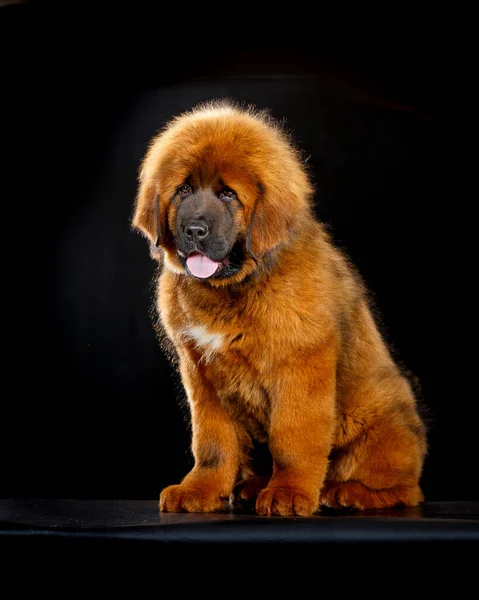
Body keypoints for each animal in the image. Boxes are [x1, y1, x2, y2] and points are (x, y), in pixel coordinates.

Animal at [131, 99, 428, 516]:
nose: (194, 230)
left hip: (380, 427)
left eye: (228, 195)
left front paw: (288, 493)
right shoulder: (201, 371)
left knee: (405, 490)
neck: (232, 289)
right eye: (183, 190)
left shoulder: (298, 365)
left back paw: (348, 493)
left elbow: (292, 437)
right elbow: (211, 442)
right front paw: (201, 490)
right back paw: (254, 486)